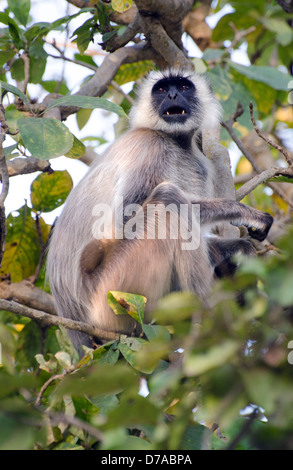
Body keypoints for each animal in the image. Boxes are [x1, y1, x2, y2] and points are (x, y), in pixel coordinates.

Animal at [46, 69, 272, 348]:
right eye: (162, 90)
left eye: (184, 87)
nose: (173, 95)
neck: (175, 142)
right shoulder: (150, 147)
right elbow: (125, 217)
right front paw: (244, 213)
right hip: (114, 293)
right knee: (168, 198)